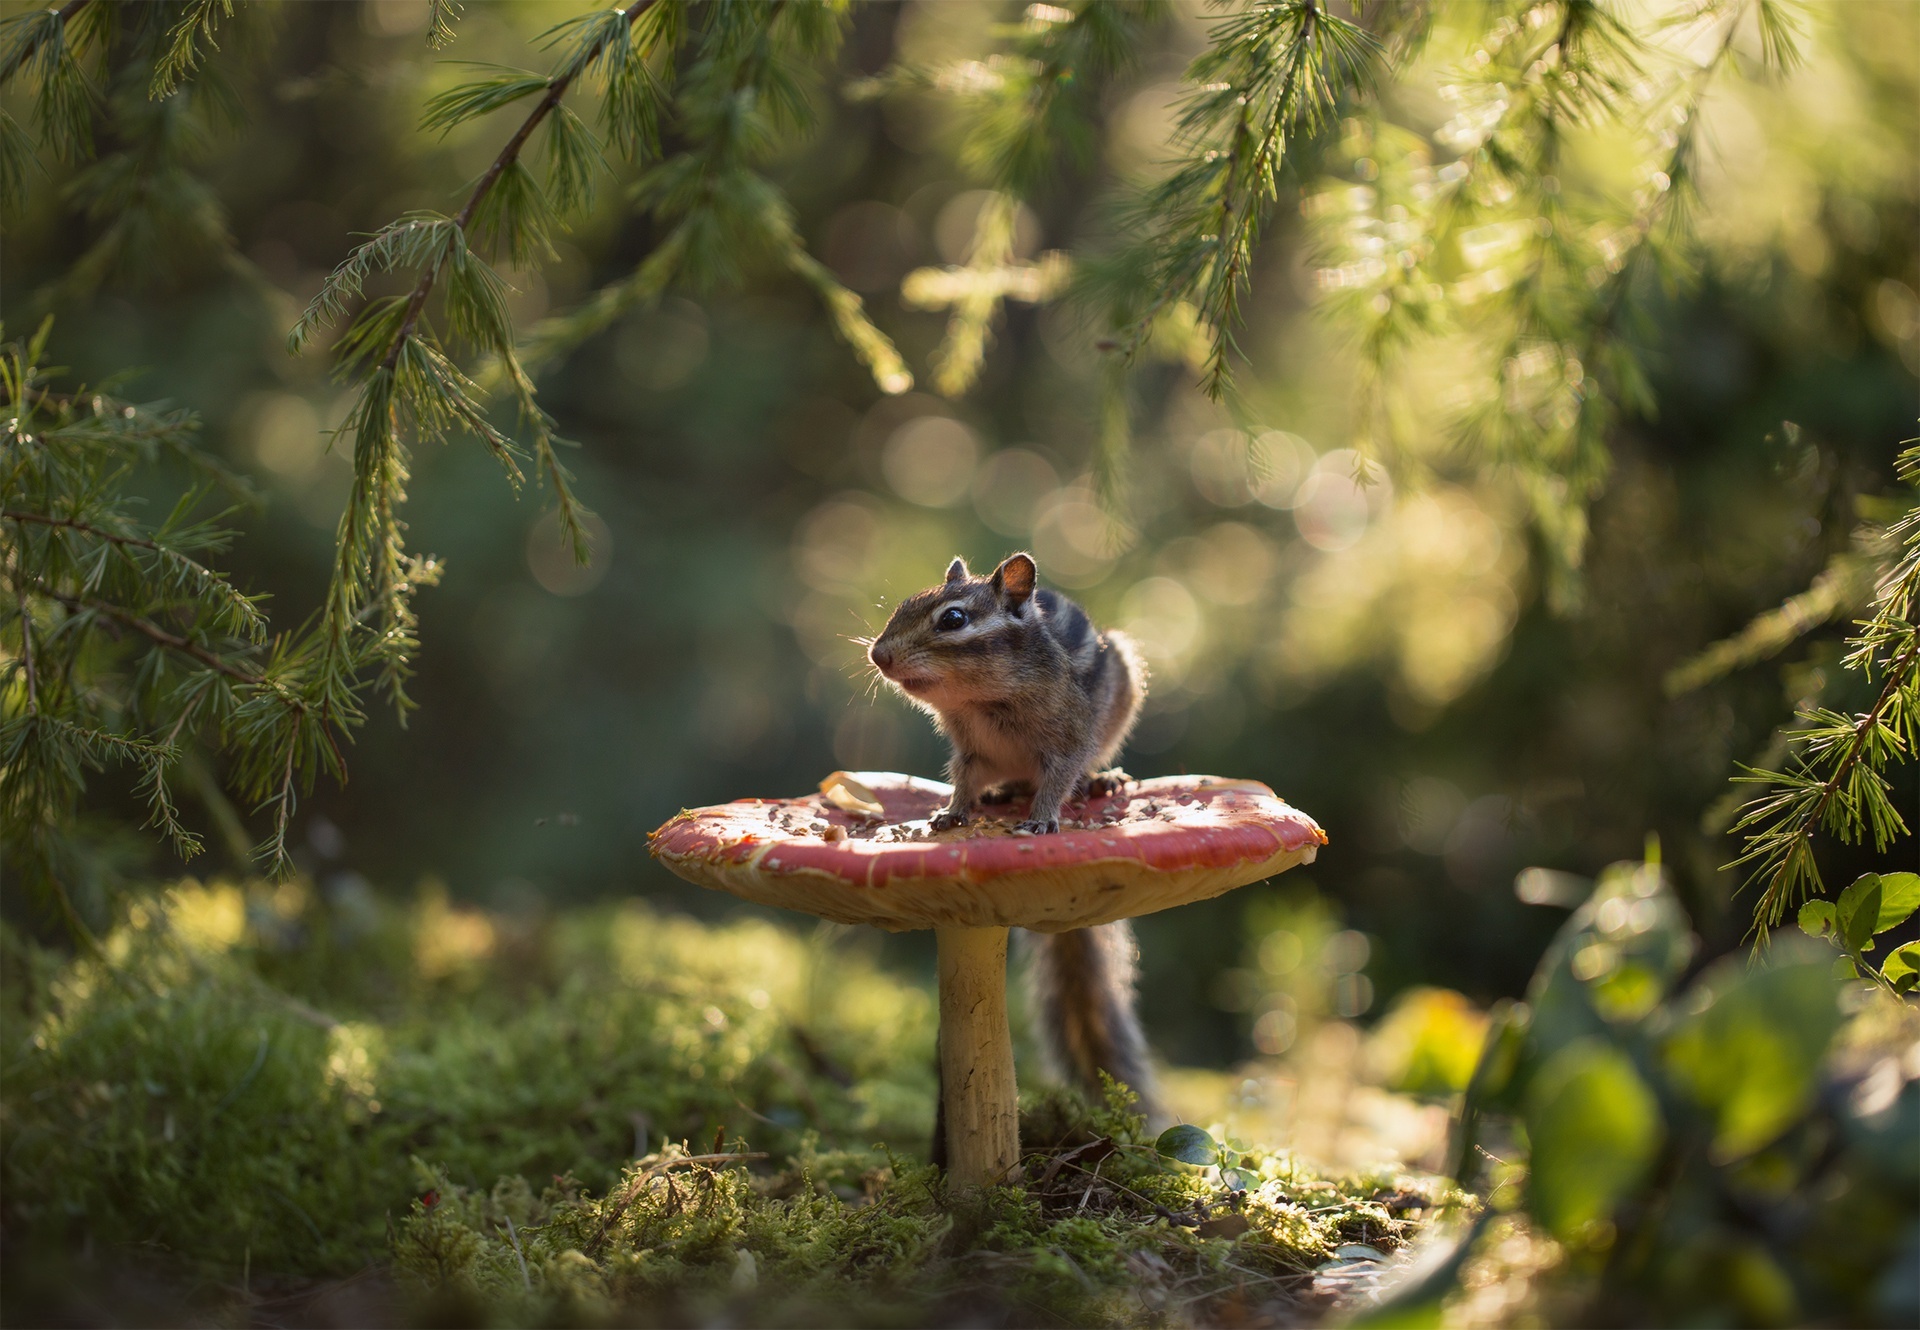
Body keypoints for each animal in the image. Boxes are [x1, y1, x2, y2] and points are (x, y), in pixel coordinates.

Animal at [867, 552, 1159, 1137]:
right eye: (902, 606)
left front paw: (1042, 819)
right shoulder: (971, 750)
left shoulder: (1067, 738)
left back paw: (1101, 782)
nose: (877, 654)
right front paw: (952, 813)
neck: (980, 700)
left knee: (1082, 771)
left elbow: (1058, 778)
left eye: (953, 619)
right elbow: (962, 781)